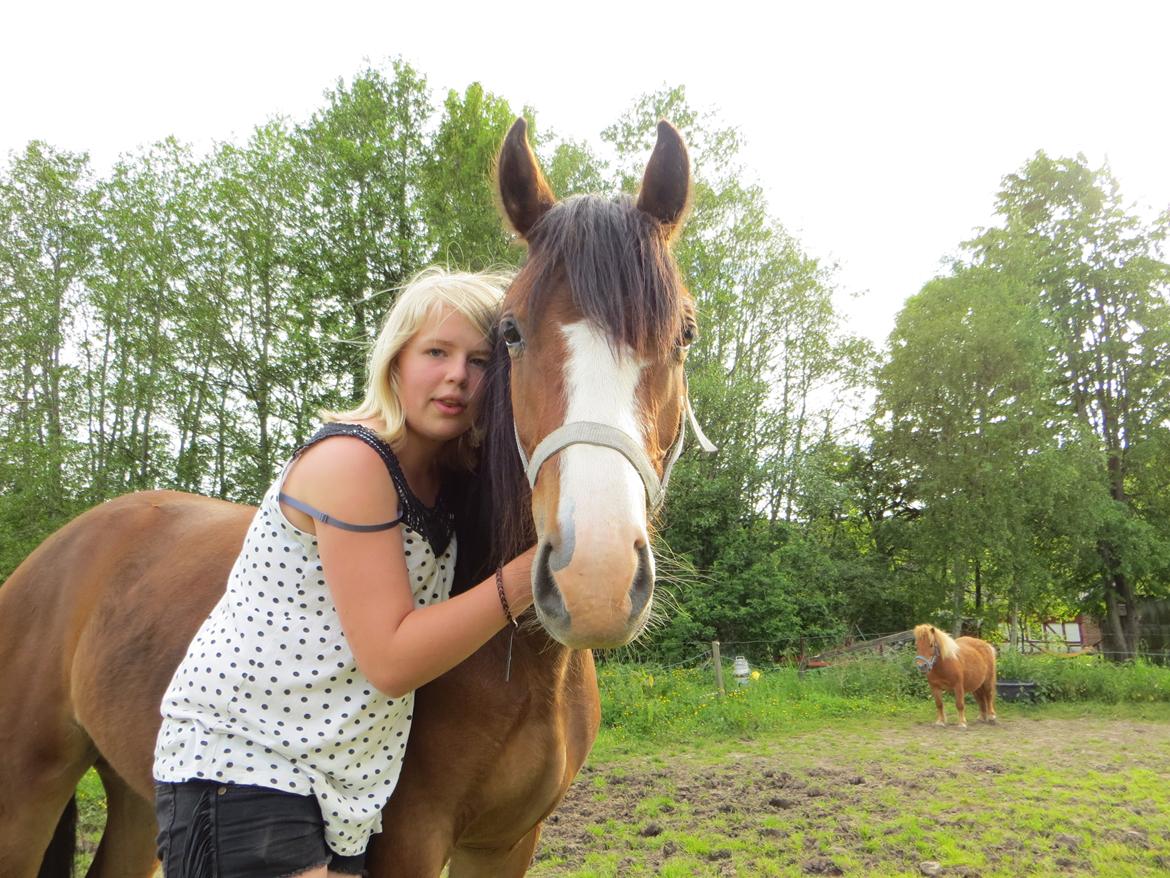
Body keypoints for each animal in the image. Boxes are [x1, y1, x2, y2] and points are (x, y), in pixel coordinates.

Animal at [0, 117, 706, 877]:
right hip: (25, 792)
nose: (595, 579)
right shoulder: (409, 841)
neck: (524, 669)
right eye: (512, 331)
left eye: (684, 334)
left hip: (134, 794)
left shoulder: (509, 842)